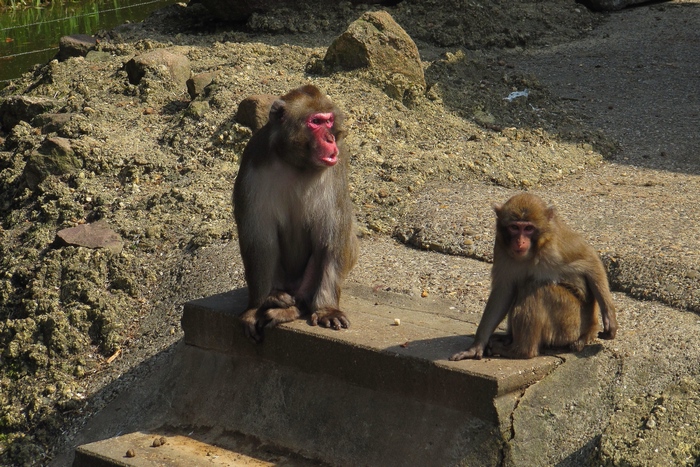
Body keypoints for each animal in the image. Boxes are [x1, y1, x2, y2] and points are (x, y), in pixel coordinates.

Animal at [233, 84, 358, 342]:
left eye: (329, 121)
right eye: (315, 122)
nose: (330, 138)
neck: (297, 164)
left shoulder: (336, 168)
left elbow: (331, 237)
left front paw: (327, 309)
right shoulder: (253, 161)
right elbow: (259, 239)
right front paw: (254, 308)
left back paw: (294, 308)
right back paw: (276, 300)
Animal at [450, 193, 617, 360]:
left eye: (528, 228)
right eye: (514, 227)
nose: (520, 242)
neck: (533, 252)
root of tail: (589, 329)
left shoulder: (557, 245)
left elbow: (590, 261)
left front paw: (610, 320)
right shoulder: (501, 247)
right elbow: (503, 292)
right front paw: (476, 346)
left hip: (571, 324)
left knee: (536, 287)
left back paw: (520, 351)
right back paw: (508, 339)